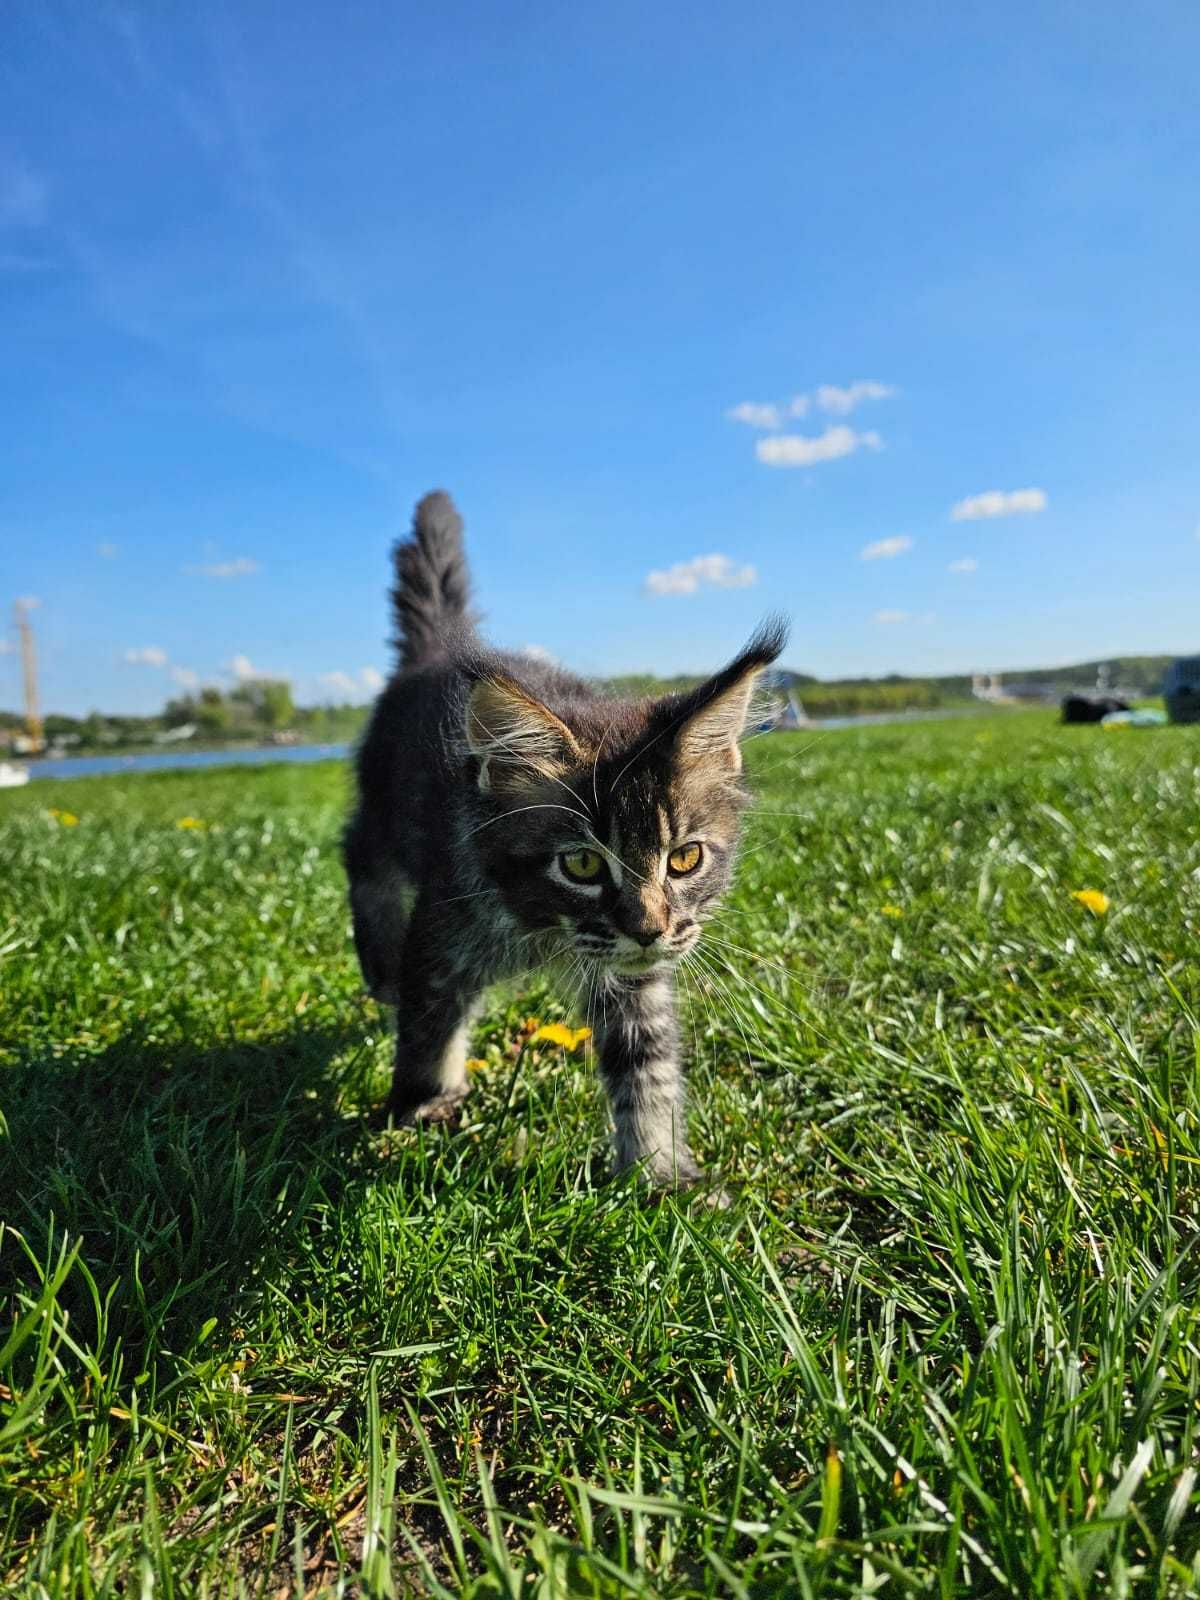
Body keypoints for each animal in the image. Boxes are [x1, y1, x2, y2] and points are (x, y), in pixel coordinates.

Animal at [342, 486, 784, 1190]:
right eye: (580, 865)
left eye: (685, 859)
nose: (648, 930)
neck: (543, 930)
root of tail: (435, 651)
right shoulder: (444, 929)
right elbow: (428, 1025)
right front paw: (419, 1107)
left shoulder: (631, 978)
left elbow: (647, 1064)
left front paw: (659, 1175)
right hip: (384, 810)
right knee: (358, 855)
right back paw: (379, 962)